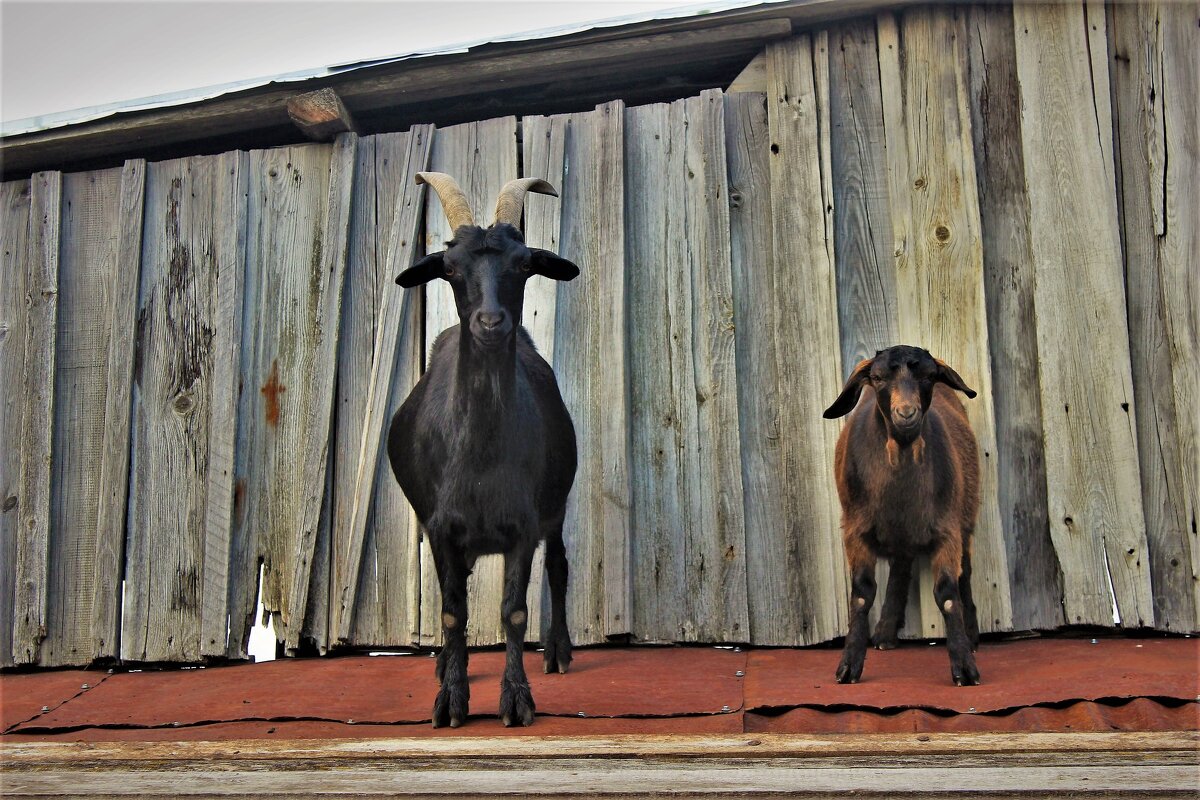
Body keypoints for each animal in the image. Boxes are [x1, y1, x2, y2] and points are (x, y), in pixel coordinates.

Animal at [391, 172, 578, 729]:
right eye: (450, 268)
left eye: (523, 263)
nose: (491, 323)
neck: (479, 455)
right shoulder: (440, 528)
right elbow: (453, 612)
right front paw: (451, 698)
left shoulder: (524, 525)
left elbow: (513, 611)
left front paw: (516, 699)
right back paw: (442, 663)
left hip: (556, 507)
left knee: (559, 565)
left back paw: (558, 651)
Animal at [825, 345, 984, 690]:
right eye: (877, 377)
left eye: (929, 376)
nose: (907, 413)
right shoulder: (855, 531)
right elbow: (861, 594)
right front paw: (849, 666)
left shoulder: (947, 530)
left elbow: (948, 595)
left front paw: (964, 666)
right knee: (900, 568)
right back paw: (885, 634)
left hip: (965, 515)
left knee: (964, 574)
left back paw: (972, 634)